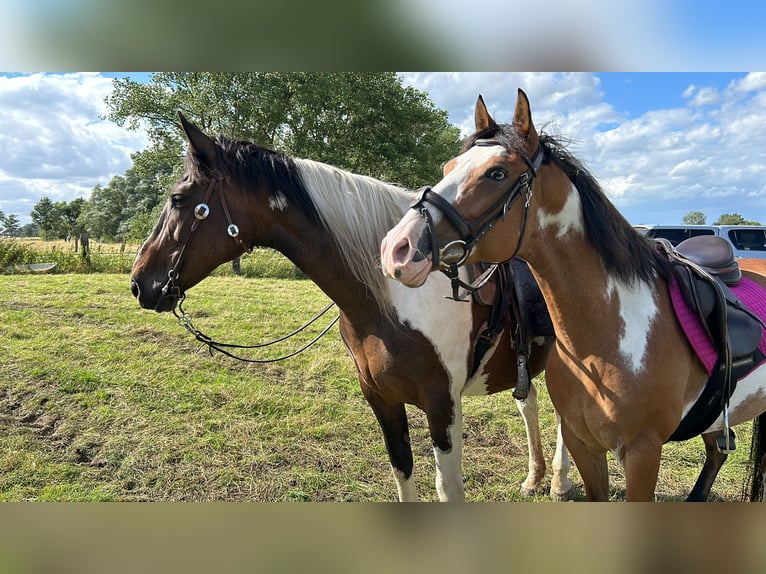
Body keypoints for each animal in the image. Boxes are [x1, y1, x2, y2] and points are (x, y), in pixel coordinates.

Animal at [130, 115, 576, 502]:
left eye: (179, 199)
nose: (140, 282)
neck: (390, 299)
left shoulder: (443, 406)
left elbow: (447, 489)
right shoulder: (380, 398)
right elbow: (402, 471)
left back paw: (558, 482)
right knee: (530, 404)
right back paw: (535, 478)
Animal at [380, 90, 766, 504]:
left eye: (497, 173)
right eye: (448, 166)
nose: (397, 248)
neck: (606, 336)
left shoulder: (643, 454)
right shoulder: (585, 446)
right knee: (716, 452)